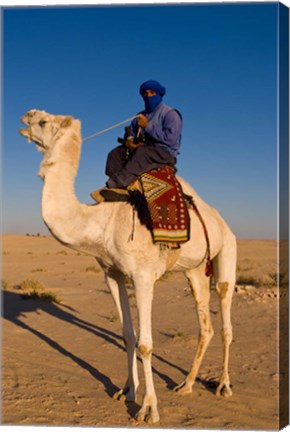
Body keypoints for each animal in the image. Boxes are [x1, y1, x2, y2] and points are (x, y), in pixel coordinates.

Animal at [19, 109, 237, 424]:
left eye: (44, 122)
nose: (27, 115)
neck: (102, 220)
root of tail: (221, 221)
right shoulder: (112, 273)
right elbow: (128, 335)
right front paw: (127, 391)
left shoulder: (143, 275)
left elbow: (146, 343)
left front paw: (149, 409)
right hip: (194, 270)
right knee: (205, 325)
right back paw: (186, 385)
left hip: (227, 251)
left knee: (225, 317)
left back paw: (223, 385)